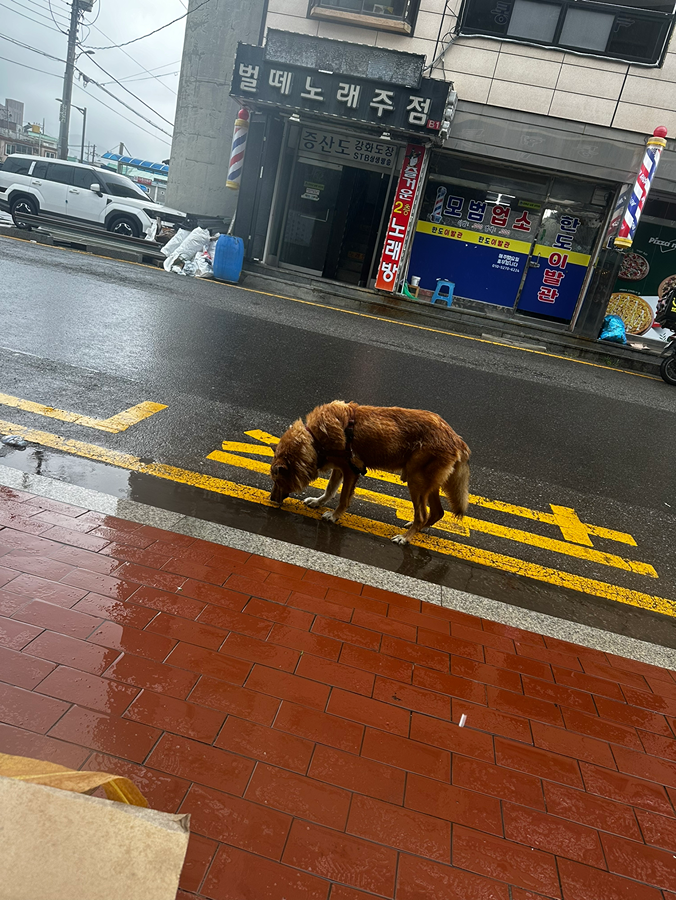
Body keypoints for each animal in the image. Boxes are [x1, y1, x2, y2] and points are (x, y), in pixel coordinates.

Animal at [270, 400, 470, 540]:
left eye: (277, 480)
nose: (271, 500)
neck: (314, 439)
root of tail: (456, 439)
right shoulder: (340, 469)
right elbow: (330, 490)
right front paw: (318, 502)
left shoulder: (351, 472)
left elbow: (343, 499)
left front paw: (334, 516)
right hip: (428, 485)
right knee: (437, 512)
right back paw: (416, 530)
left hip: (416, 482)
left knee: (422, 515)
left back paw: (405, 538)